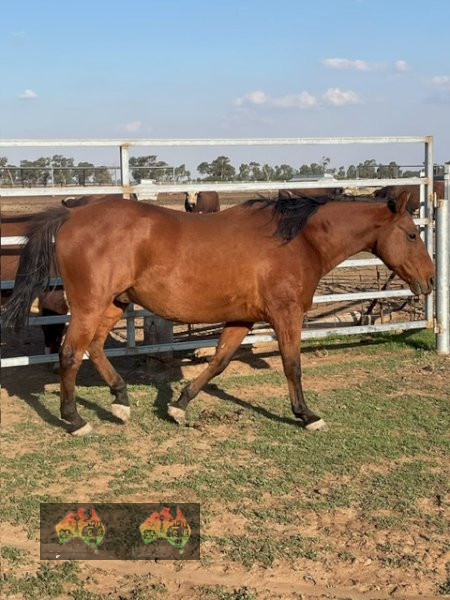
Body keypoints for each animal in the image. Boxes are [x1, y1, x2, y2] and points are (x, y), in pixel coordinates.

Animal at [3, 191, 434, 436]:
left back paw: (121, 402)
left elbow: (219, 362)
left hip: (114, 303)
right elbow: (292, 365)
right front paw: (307, 416)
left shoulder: (242, 318)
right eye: (412, 234)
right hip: (91, 304)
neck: (297, 242)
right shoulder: (286, 315)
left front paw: (178, 406)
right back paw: (75, 420)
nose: (430, 280)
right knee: (70, 354)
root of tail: (72, 215)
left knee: (93, 347)